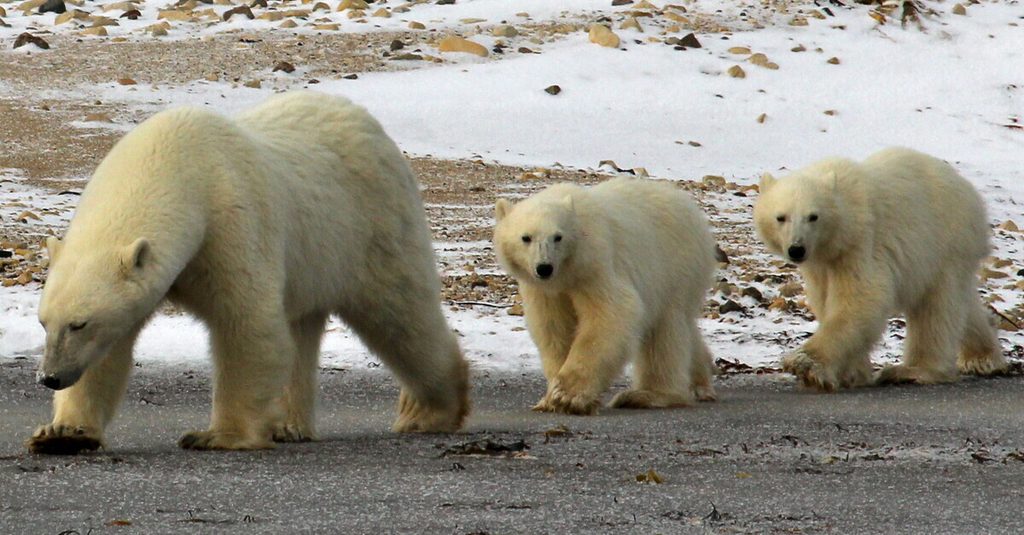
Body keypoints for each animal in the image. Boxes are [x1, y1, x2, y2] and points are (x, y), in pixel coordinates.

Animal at [28, 91, 469, 454]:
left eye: (80, 323)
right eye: (44, 322)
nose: (50, 377)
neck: (176, 162)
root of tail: (369, 123)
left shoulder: (229, 219)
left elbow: (246, 323)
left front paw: (216, 436)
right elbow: (108, 353)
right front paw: (63, 434)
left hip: (370, 227)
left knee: (401, 316)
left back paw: (429, 411)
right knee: (301, 328)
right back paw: (287, 426)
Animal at [493, 177, 718, 415]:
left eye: (558, 237)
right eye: (526, 237)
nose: (544, 267)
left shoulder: (595, 265)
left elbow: (611, 314)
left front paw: (568, 396)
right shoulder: (544, 289)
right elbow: (553, 327)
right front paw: (550, 397)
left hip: (674, 267)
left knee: (664, 330)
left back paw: (647, 395)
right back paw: (699, 383)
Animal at [753, 147, 1007, 391]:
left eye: (813, 216)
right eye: (781, 217)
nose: (797, 249)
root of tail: (968, 190)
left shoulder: (860, 245)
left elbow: (861, 299)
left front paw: (806, 364)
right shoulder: (821, 264)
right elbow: (825, 301)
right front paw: (853, 373)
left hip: (945, 243)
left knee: (935, 308)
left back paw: (912, 370)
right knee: (962, 304)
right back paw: (982, 357)